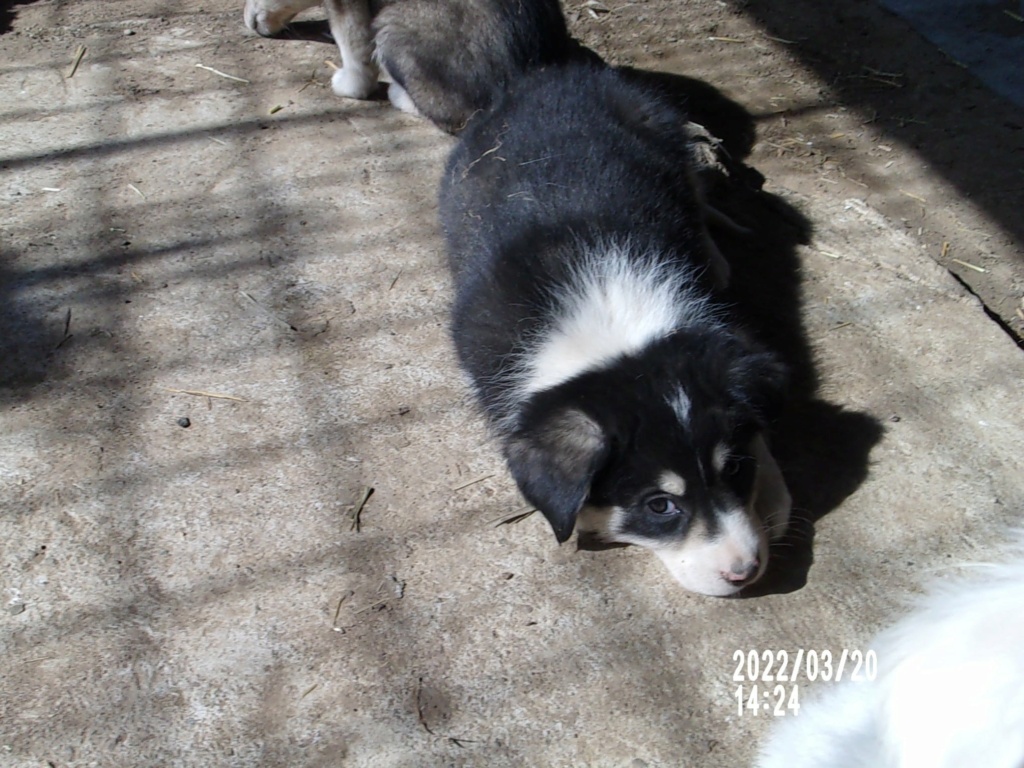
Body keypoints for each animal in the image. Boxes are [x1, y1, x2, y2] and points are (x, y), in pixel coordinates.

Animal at [440, 63, 790, 598]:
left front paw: (772, 495)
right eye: (660, 505)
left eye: (732, 468)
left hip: (666, 133)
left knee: (695, 190)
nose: (745, 571)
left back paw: (715, 254)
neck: (607, 320)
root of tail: (552, 73)